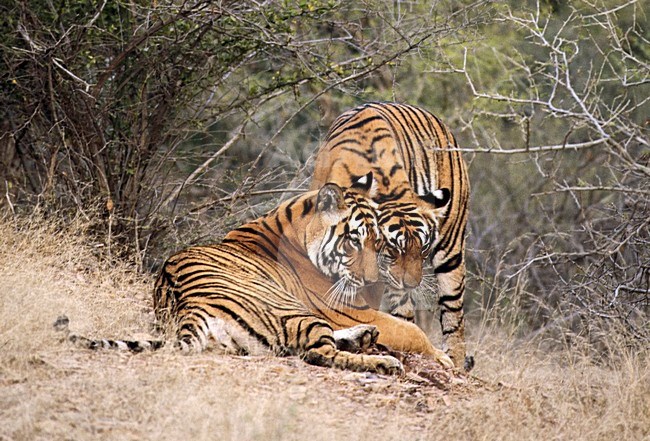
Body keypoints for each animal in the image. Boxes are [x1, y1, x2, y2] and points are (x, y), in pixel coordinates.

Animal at [54, 177, 450, 372]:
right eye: (353, 240)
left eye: (378, 242)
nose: (370, 283)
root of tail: (188, 304)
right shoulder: (339, 307)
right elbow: (412, 331)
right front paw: (444, 357)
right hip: (292, 309)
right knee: (317, 353)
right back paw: (382, 360)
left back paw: (365, 337)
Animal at [310, 102, 470, 368]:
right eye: (393, 250)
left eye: (423, 249)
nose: (413, 284)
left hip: (451, 249)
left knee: (452, 315)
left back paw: (453, 360)